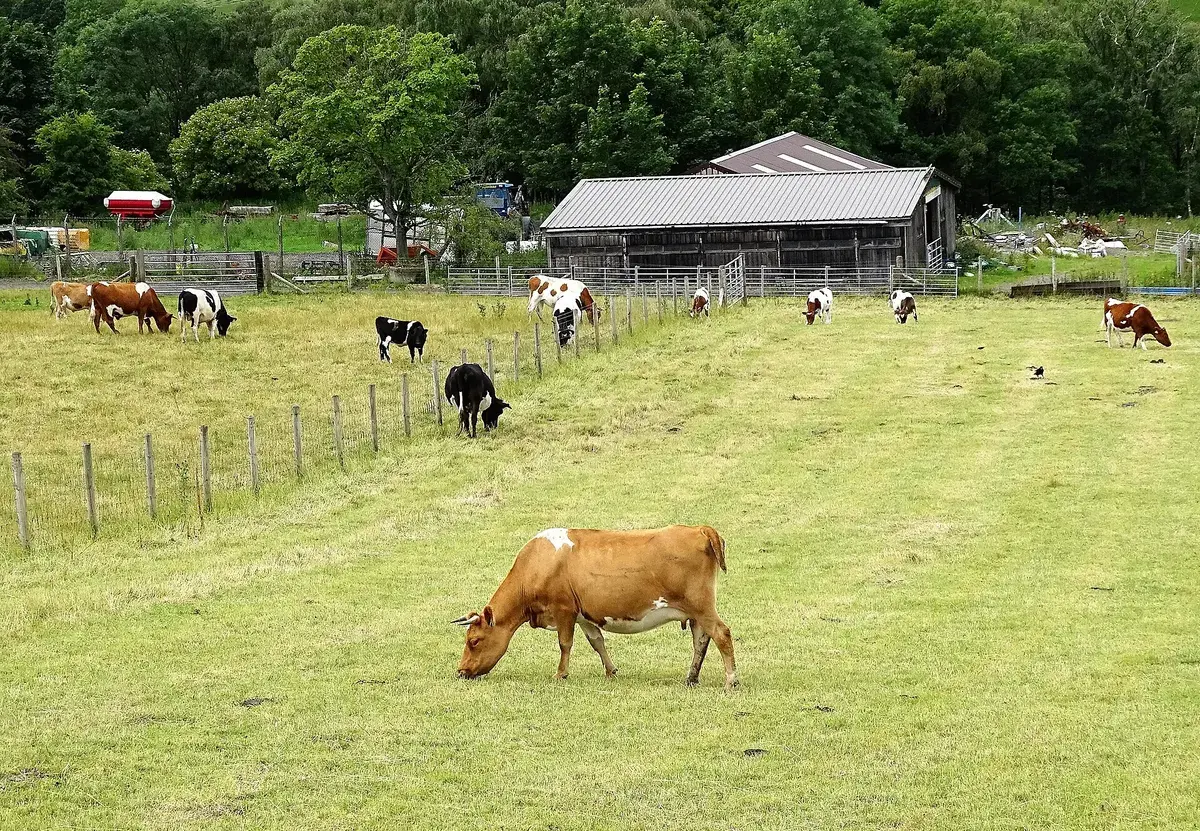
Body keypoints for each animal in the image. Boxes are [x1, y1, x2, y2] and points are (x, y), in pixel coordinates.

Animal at [454, 525, 739, 691]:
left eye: (474, 641)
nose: (461, 671)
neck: (538, 562)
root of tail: (700, 529)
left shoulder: (564, 610)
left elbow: (565, 644)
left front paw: (561, 674)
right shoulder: (584, 615)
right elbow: (597, 641)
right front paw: (611, 671)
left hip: (701, 605)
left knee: (721, 634)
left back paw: (731, 680)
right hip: (695, 612)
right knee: (701, 640)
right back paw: (691, 678)